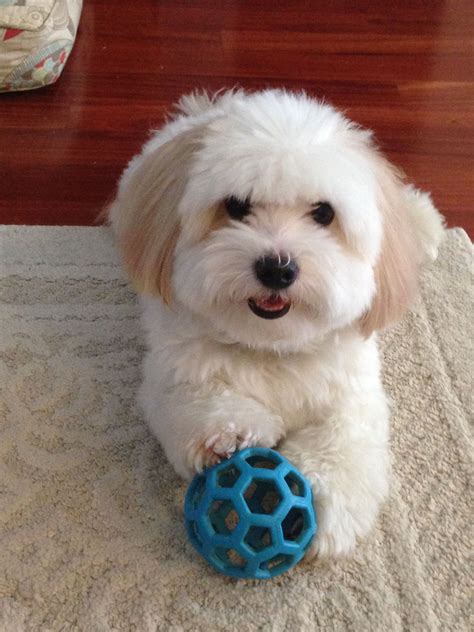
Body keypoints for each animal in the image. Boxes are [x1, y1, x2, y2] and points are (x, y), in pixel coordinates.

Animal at [108, 90, 444, 556]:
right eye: (236, 206)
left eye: (323, 213)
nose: (277, 269)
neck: (273, 345)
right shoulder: (172, 375)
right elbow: (197, 404)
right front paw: (228, 436)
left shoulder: (352, 395)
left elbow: (342, 445)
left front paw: (325, 510)